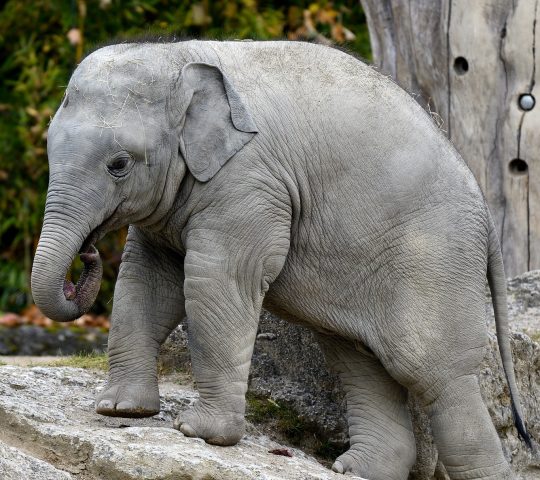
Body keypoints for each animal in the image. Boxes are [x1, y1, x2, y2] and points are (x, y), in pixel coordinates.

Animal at [31, 40, 528, 480]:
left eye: (119, 164)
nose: (88, 250)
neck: (177, 57)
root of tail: (486, 213)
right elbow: (145, 282)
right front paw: (121, 410)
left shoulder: (250, 180)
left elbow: (214, 282)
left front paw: (199, 434)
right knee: (360, 359)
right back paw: (356, 470)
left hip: (434, 257)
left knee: (431, 372)